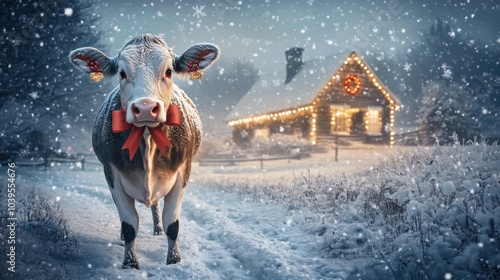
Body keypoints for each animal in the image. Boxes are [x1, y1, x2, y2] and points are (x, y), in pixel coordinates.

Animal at [68, 35, 219, 270]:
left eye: (169, 71)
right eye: (122, 73)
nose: (146, 108)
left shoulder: (183, 171)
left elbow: (172, 223)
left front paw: (174, 261)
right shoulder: (111, 173)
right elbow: (130, 224)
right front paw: (130, 264)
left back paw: (157, 229)